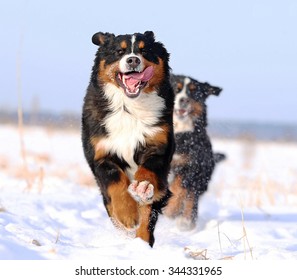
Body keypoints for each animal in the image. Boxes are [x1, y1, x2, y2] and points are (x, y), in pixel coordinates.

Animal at [81, 30, 175, 246]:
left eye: (145, 50)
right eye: (119, 51)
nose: (133, 60)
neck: (128, 107)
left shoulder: (158, 144)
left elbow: (149, 170)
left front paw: (142, 188)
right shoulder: (101, 154)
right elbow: (115, 181)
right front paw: (128, 213)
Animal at [163, 74, 223, 230]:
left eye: (194, 91)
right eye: (176, 89)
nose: (183, 99)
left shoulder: (191, 166)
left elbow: (179, 188)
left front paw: (171, 210)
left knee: (191, 197)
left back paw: (186, 221)